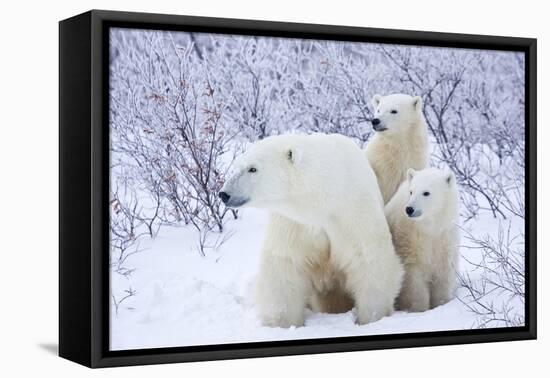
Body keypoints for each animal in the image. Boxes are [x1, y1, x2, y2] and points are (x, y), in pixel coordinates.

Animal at [220, 134, 406, 328]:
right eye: (238, 166)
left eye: (253, 168)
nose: (224, 194)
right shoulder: (294, 223)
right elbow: (285, 265)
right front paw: (282, 323)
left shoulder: (352, 211)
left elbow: (369, 259)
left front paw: (372, 318)